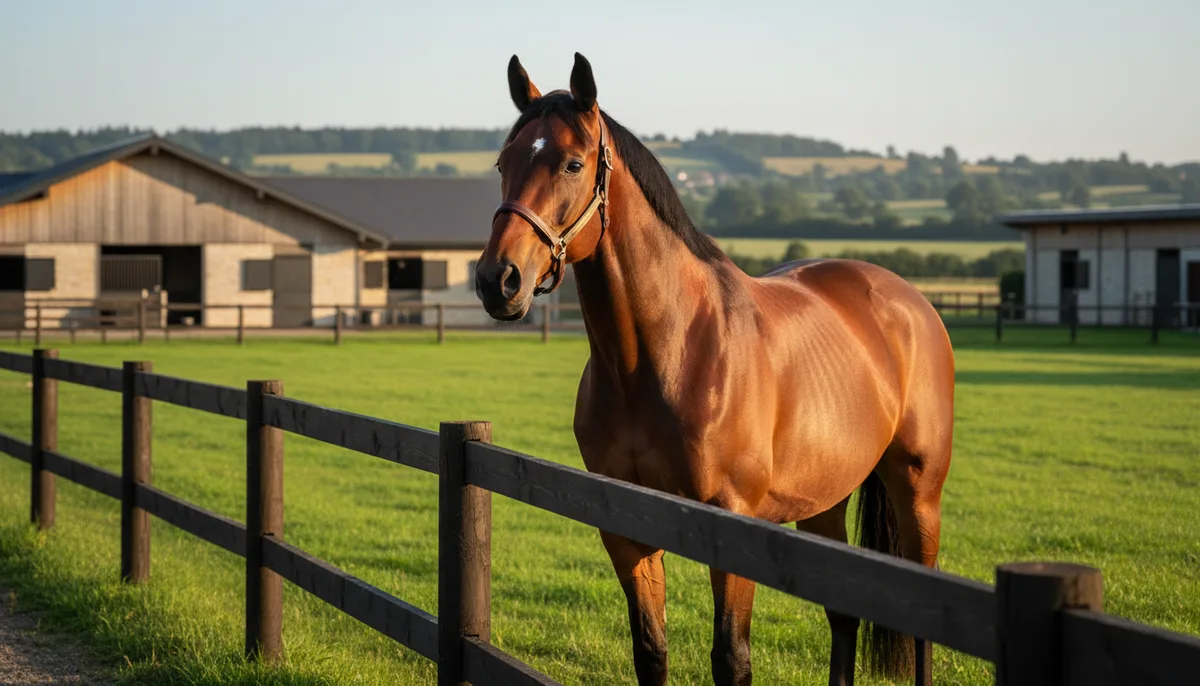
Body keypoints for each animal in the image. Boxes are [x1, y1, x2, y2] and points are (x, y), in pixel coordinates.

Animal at [475, 52, 954, 686]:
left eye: (573, 163)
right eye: (504, 162)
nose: (496, 280)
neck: (665, 356)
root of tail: (910, 301)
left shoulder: (732, 526)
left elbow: (731, 658)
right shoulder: (625, 527)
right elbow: (651, 650)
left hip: (918, 493)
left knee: (923, 631)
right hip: (825, 500)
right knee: (843, 615)